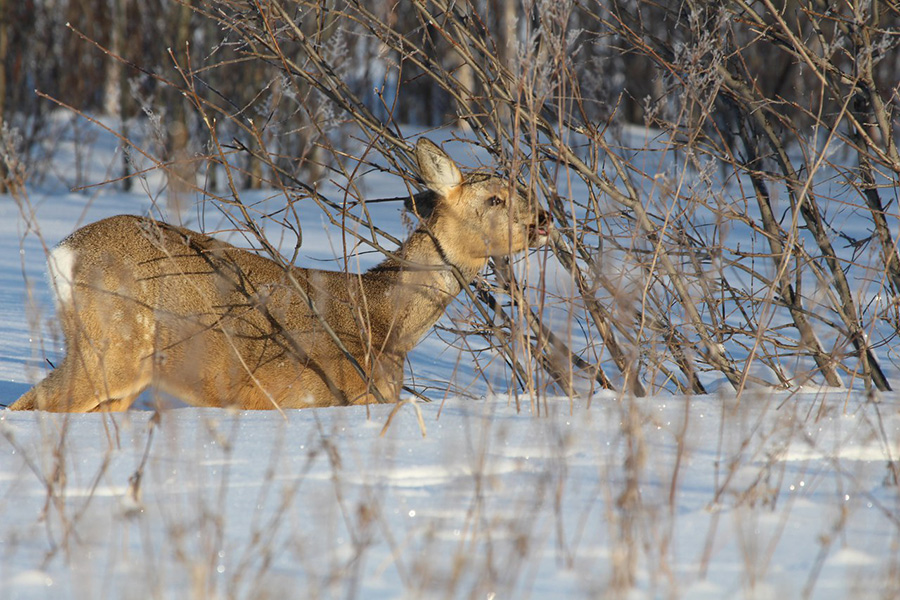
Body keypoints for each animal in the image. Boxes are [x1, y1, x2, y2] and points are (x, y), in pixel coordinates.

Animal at [10, 139, 552, 412]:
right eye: (496, 199)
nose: (545, 219)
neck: (386, 319)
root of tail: (63, 253)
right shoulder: (336, 396)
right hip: (111, 347)